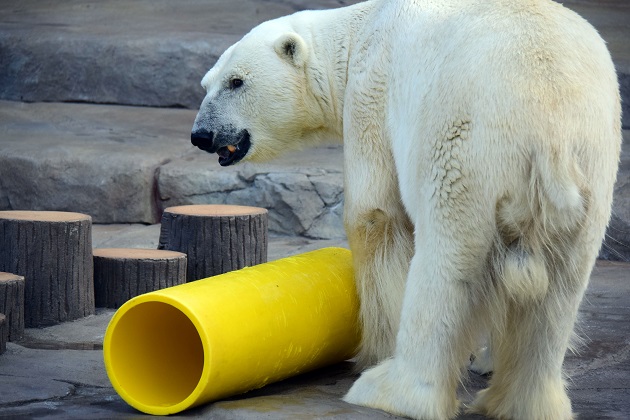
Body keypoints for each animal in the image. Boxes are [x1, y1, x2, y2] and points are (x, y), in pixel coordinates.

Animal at [191, 0, 624, 416]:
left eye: (236, 82)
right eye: (207, 84)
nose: (201, 135)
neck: (357, 31)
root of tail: (548, 127)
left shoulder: (371, 93)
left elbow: (374, 214)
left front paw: (376, 350)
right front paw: (486, 360)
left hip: (466, 140)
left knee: (447, 263)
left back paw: (391, 390)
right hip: (593, 165)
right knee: (562, 284)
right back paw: (523, 401)